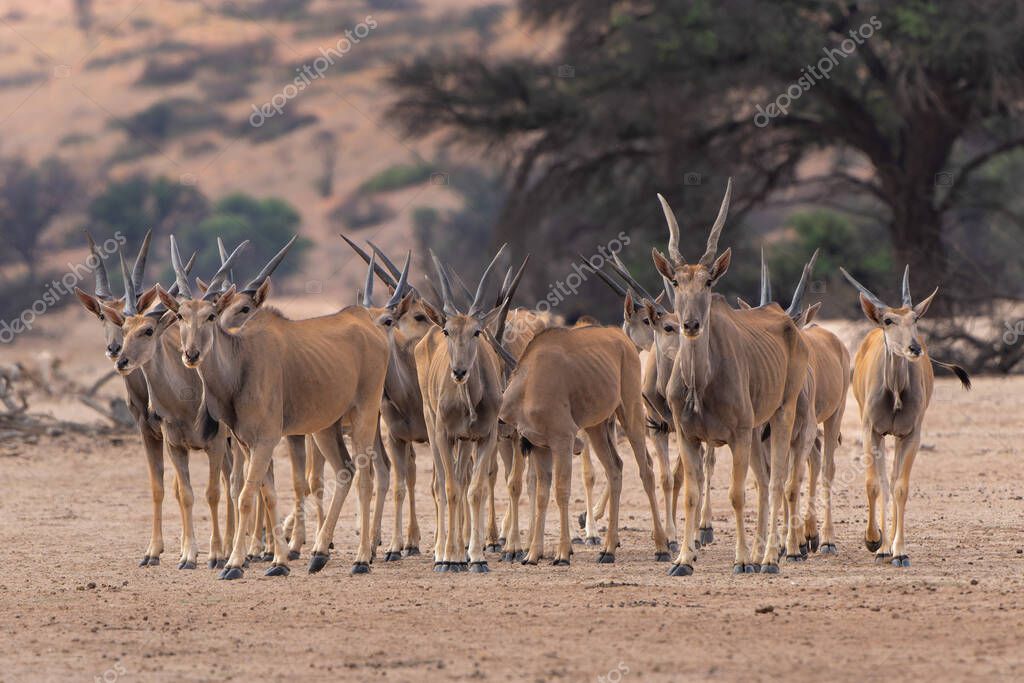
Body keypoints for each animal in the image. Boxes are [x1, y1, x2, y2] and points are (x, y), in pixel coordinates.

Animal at [100, 242, 248, 569]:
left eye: (148, 330)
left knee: (239, 484)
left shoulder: (214, 444)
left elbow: (213, 493)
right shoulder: (175, 446)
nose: (121, 360)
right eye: (124, 328)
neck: (187, 402)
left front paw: (215, 555)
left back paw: (247, 551)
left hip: (237, 442)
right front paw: (186, 555)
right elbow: (185, 494)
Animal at [155, 235, 387, 577]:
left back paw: (361, 559)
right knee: (345, 470)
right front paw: (278, 561)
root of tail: (369, 324)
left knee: (366, 476)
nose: (191, 354)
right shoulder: (248, 443)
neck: (240, 362)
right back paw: (319, 553)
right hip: (325, 427)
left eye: (210, 315)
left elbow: (246, 496)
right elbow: (268, 494)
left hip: (365, 415)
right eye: (181, 315)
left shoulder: (265, 440)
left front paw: (235, 563)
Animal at [497, 325, 671, 565]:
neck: (528, 384)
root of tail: (621, 337)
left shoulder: (562, 441)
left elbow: (561, 491)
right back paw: (608, 550)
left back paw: (662, 547)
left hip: (630, 412)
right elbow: (542, 495)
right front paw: (532, 554)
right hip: (597, 429)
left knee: (646, 470)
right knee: (615, 469)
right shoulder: (540, 447)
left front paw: (562, 553)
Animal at [655, 179, 806, 573]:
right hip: (755, 431)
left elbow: (737, 494)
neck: (700, 384)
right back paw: (759, 553)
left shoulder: (736, 434)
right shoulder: (688, 436)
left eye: (709, 282)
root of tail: (786, 319)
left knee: (776, 481)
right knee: (764, 480)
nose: (691, 324)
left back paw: (768, 558)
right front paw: (683, 559)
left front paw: (740, 560)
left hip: (782, 413)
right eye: (676, 281)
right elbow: (691, 494)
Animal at [835, 266, 970, 565]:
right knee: (884, 481)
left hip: (896, 438)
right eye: (888, 320)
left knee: (895, 478)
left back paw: (891, 549)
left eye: (915, 318)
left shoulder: (911, 435)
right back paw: (882, 547)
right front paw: (873, 542)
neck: (895, 392)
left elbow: (900, 487)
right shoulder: (871, 432)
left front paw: (900, 551)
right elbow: (875, 484)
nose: (914, 349)